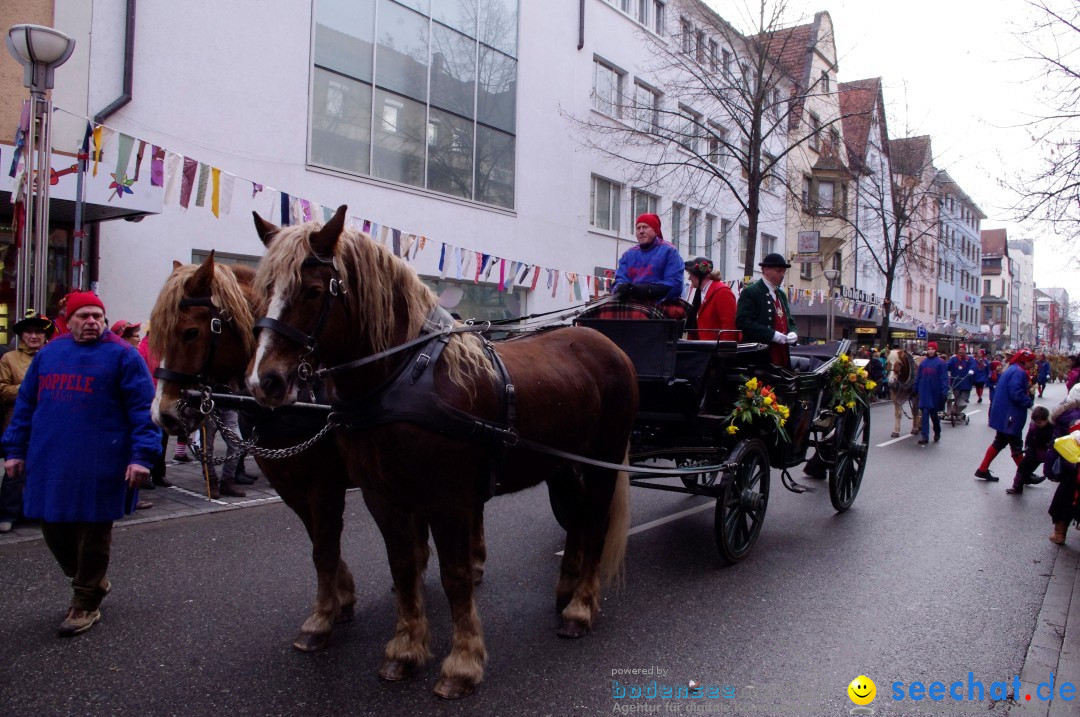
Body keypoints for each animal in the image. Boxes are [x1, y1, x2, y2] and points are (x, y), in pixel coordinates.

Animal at [147, 254, 356, 652]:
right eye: (156, 335)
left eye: (191, 332)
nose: (164, 414)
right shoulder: (289, 483)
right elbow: (318, 541)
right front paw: (343, 600)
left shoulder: (324, 482)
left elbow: (324, 546)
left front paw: (320, 621)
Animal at [245, 204, 635, 695]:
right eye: (264, 289)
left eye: (314, 291)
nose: (265, 381)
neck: (401, 378)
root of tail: (605, 343)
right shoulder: (382, 497)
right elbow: (403, 567)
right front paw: (405, 651)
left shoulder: (447, 500)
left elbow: (455, 576)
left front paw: (462, 663)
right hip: (563, 466)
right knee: (578, 521)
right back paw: (565, 596)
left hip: (602, 460)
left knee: (596, 523)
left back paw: (581, 608)